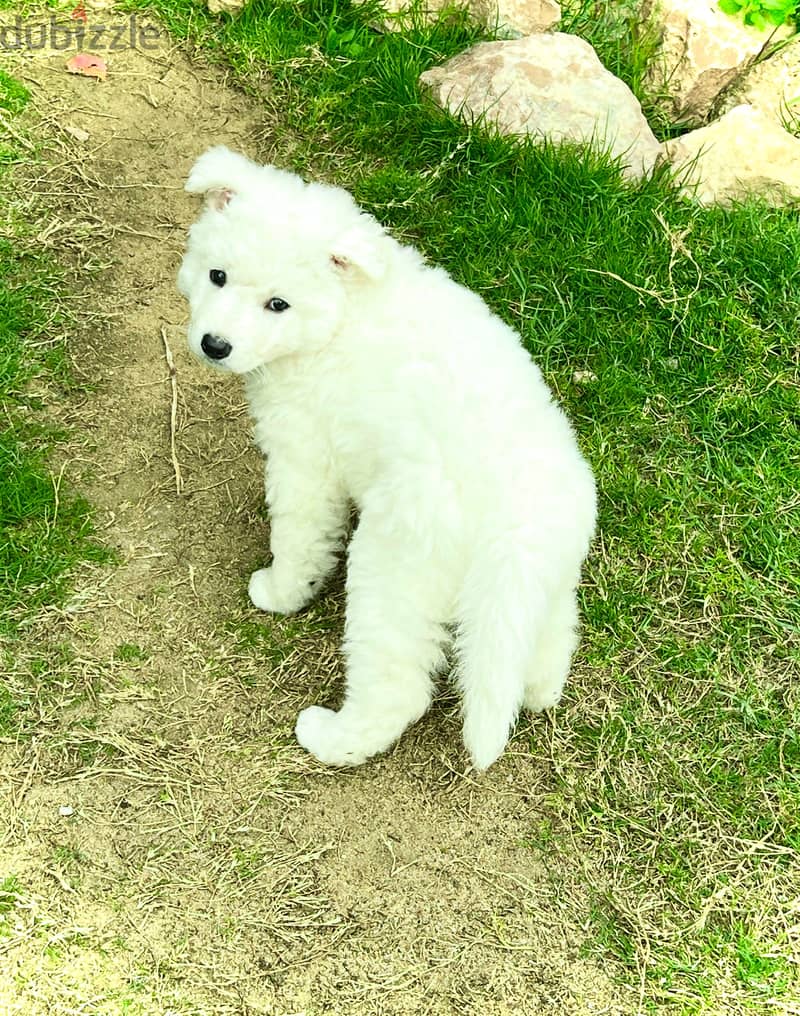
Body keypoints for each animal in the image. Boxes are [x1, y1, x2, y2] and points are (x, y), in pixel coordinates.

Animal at [179, 145, 593, 768]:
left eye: (278, 304)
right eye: (217, 275)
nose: (215, 345)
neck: (342, 317)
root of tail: (512, 530)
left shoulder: (304, 457)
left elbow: (299, 538)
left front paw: (280, 591)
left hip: (395, 569)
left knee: (398, 688)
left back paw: (332, 737)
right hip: (539, 585)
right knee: (545, 644)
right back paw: (536, 689)